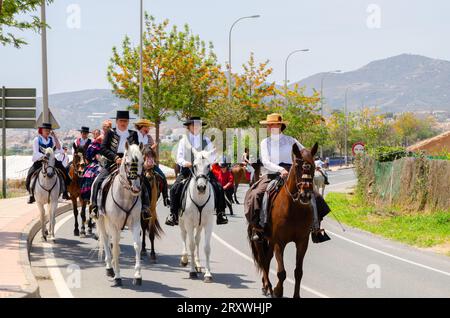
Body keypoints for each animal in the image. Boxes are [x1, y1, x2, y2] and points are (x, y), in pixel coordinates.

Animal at [97, 143, 145, 286]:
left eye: (142, 162)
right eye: (127, 163)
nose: (136, 189)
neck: (126, 196)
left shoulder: (135, 223)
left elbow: (137, 245)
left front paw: (138, 275)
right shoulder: (114, 225)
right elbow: (116, 249)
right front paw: (117, 276)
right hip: (101, 220)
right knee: (106, 240)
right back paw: (109, 268)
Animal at [178, 148, 215, 282]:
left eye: (208, 166)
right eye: (194, 165)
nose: (201, 187)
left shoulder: (208, 222)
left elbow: (206, 247)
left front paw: (208, 274)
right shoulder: (188, 222)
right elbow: (191, 245)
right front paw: (192, 271)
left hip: (199, 225)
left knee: (197, 239)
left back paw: (198, 264)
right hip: (181, 221)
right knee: (184, 236)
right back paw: (184, 259)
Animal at [248, 143, 318, 298]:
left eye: (313, 165)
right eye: (297, 165)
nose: (305, 195)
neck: (294, 209)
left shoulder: (302, 242)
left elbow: (298, 272)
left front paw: (296, 295)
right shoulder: (279, 242)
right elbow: (281, 272)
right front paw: (277, 291)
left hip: (270, 240)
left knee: (267, 259)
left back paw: (265, 286)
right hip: (260, 239)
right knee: (263, 260)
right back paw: (268, 286)